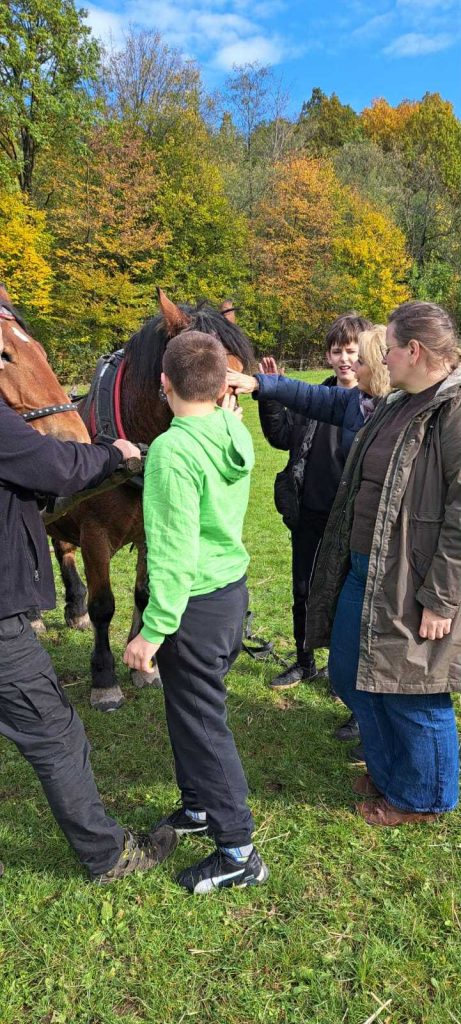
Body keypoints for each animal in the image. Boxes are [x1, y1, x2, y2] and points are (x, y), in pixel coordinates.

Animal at [44, 289, 255, 712]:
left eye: (240, 383)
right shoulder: (94, 536)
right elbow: (104, 605)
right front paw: (105, 679)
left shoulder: (151, 530)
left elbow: (143, 595)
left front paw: (143, 666)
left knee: (62, 548)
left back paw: (74, 609)